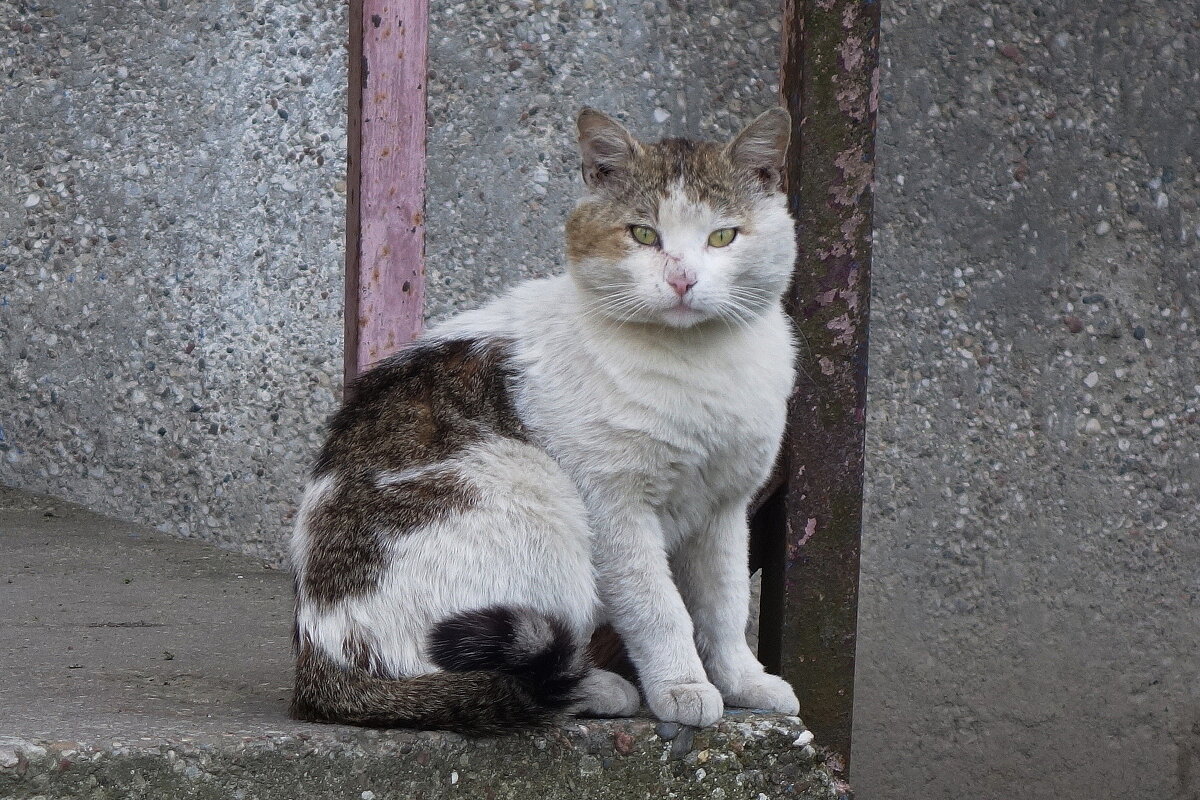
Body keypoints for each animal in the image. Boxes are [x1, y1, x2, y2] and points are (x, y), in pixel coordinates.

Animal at [285, 107, 801, 738]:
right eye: (643, 234)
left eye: (723, 236)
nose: (682, 279)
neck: (698, 366)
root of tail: (320, 663)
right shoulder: (614, 509)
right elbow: (658, 607)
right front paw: (682, 686)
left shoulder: (725, 508)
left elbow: (726, 606)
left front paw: (744, 682)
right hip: (533, 502)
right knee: (498, 677)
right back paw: (599, 688)